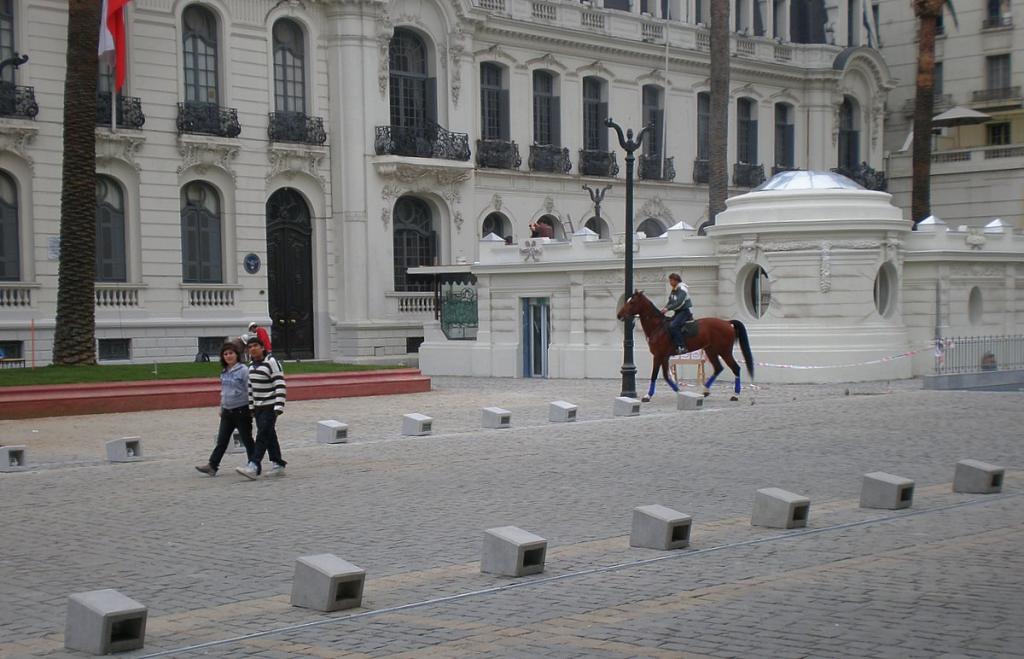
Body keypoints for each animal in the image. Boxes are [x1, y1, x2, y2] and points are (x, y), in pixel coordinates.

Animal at [614, 290, 753, 401]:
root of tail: (727, 323)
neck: (658, 327)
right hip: (711, 351)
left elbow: (654, 375)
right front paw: (680, 392)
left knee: (736, 368)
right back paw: (705, 391)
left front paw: (648, 396)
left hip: (724, 352)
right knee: (718, 368)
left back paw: (735, 395)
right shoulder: (664, 357)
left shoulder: (658, 356)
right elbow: (666, 376)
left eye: (632, 302)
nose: (619, 315)